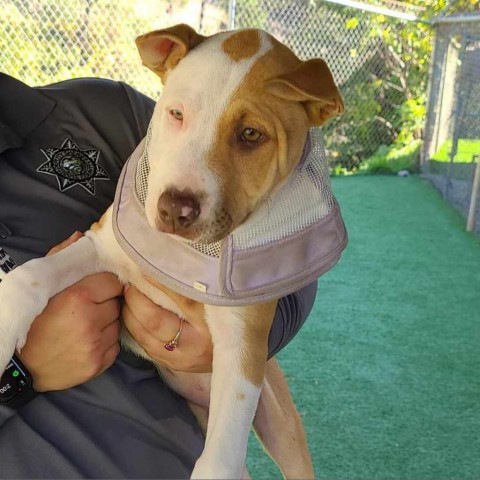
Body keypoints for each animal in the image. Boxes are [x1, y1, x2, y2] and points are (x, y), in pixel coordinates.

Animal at [0, 24, 344, 478]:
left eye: (251, 135)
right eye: (176, 114)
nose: (173, 210)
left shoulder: (243, 339)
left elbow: (218, 463)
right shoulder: (106, 247)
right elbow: (31, 276)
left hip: (280, 421)